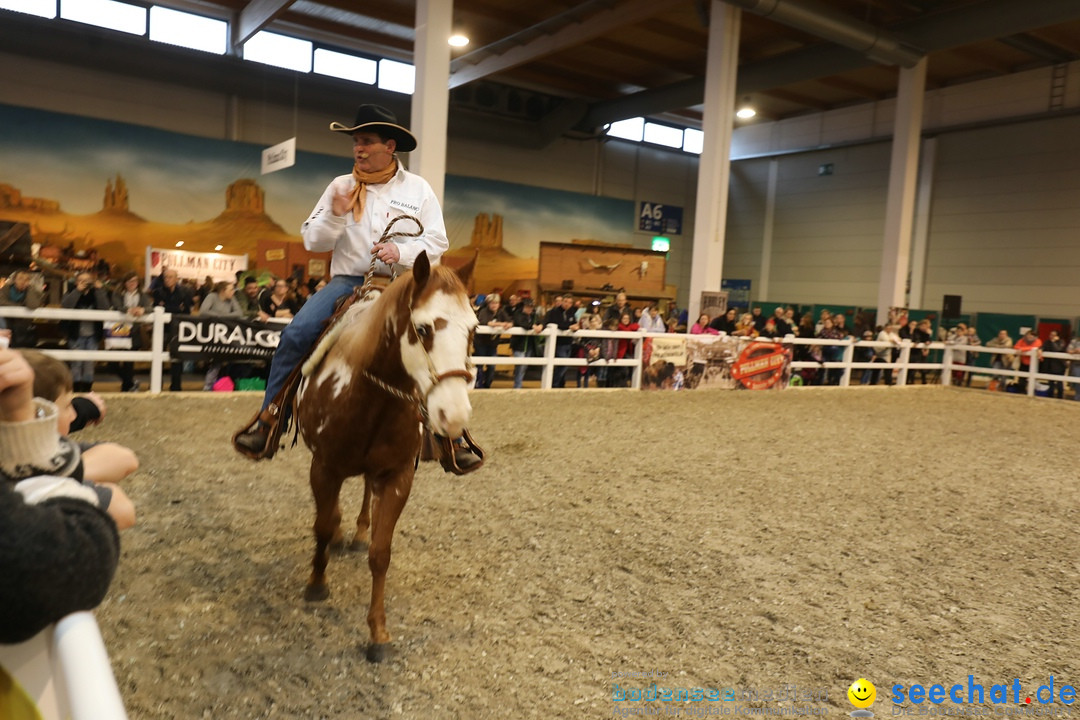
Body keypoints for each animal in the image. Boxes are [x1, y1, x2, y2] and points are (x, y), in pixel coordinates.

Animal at [298, 250, 479, 660]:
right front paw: (316, 583)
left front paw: (378, 633)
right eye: (424, 329)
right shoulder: (323, 468)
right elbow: (323, 525)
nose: (454, 415)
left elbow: (381, 553)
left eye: (474, 330)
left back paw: (360, 531)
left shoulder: (398, 477)